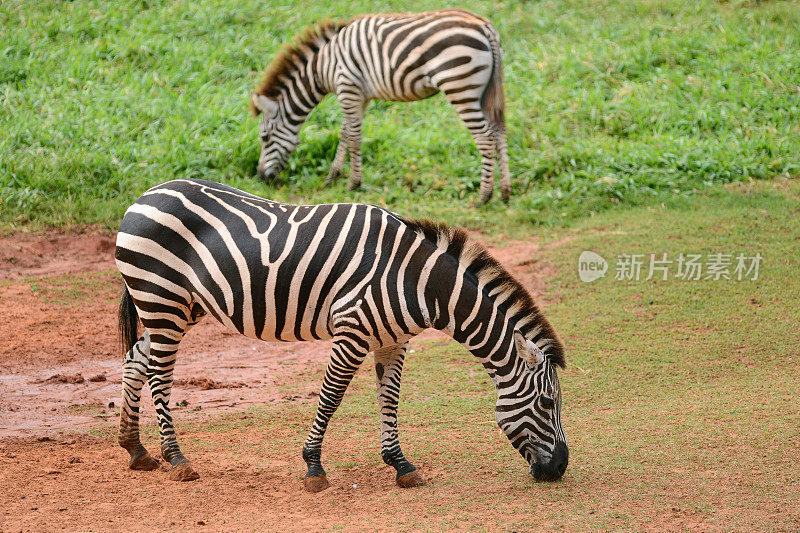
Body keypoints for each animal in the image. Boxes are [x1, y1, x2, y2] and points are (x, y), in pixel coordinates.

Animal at [114, 179, 568, 490]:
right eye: (548, 402)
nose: (560, 468)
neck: (416, 281)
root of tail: (144, 195)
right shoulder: (351, 333)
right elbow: (331, 398)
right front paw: (313, 466)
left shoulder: (394, 341)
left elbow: (390, 399)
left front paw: (400, 464)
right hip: (162, 300)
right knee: (158, 374)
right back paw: (176, 459)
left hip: (179, 307)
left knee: (135, 359)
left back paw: (136, 449)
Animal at [252, 10, 512, 206]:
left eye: (264, 138)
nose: (261, 177)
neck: (321, 69)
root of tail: (485, 26)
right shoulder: (360, 96)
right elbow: (345, 133)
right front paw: (332, 177)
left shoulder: (347, 87)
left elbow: (354, 136)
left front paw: (353, 183)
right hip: (485, 89)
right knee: (498, 130)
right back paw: (505, 192)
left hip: (460, 85)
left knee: (484, 136)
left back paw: (484, 196)